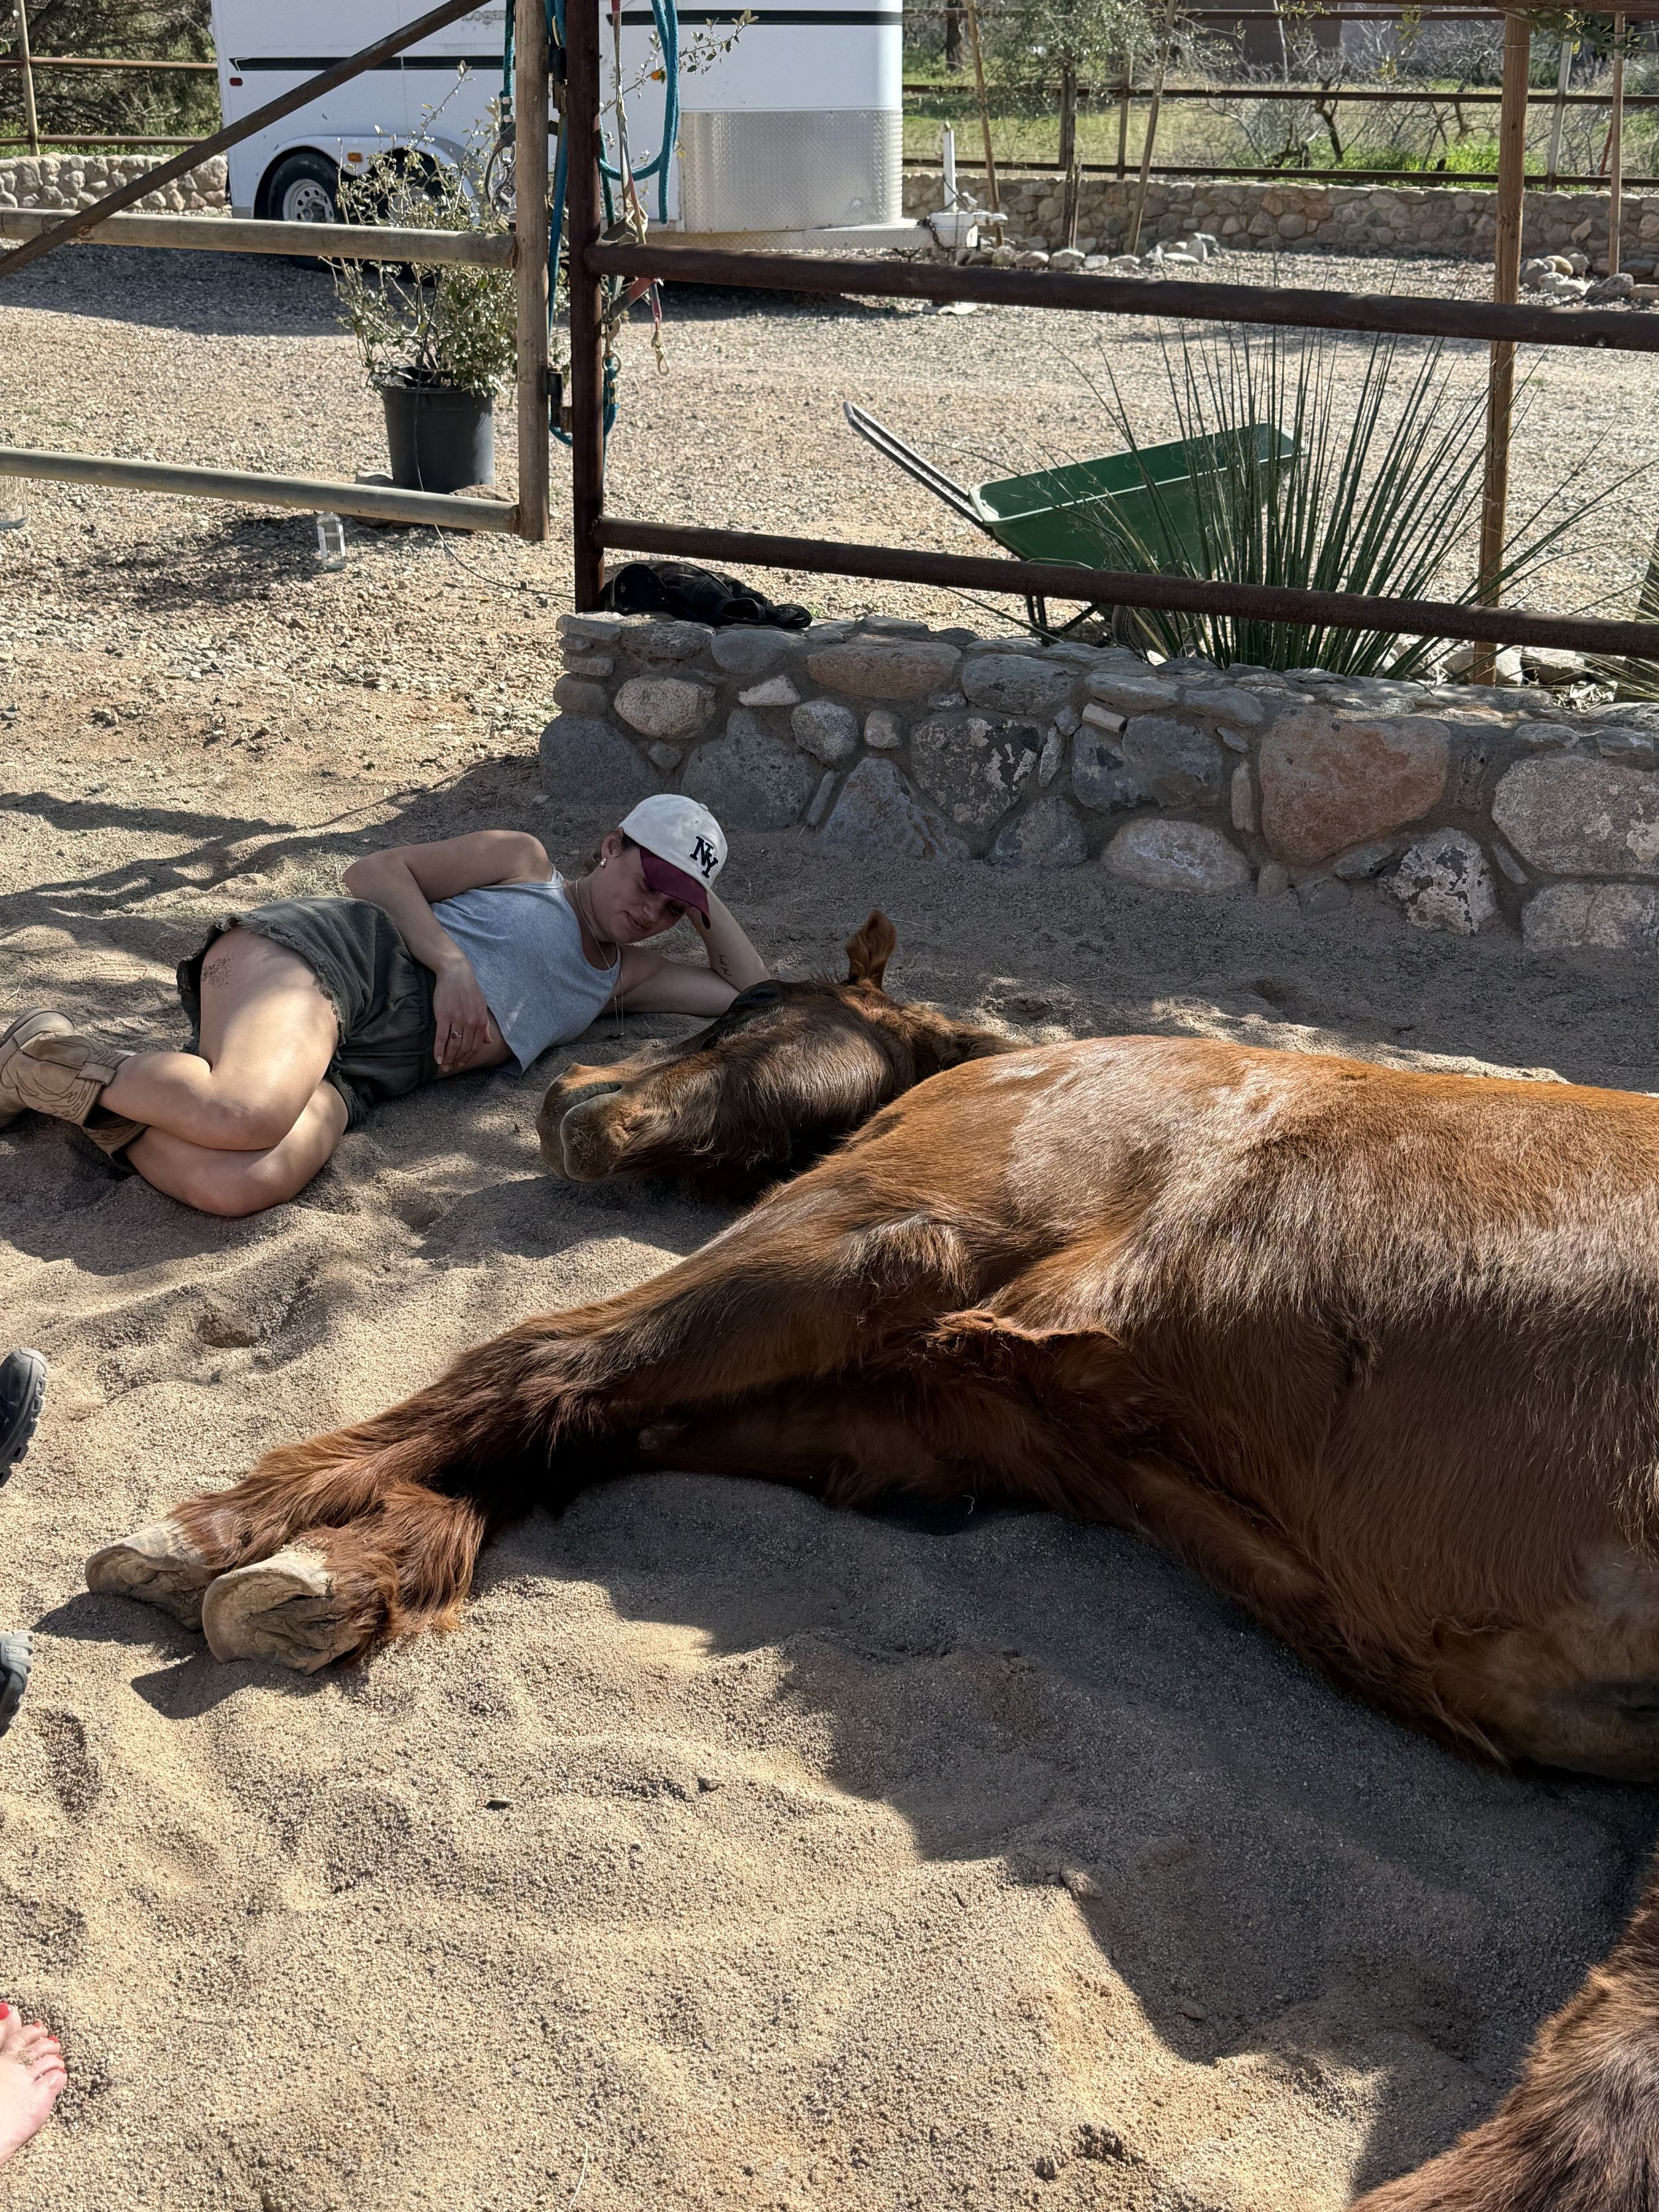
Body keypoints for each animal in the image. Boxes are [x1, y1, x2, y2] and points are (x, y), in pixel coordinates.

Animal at [86, 924, 1659, 2209]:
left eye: (751, 1010)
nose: (567, 1100)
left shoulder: (869, 1241)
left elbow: (542, 1371)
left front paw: (254, 1540)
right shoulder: (903, 1410)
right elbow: (566, 1417)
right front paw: (333, 1564)